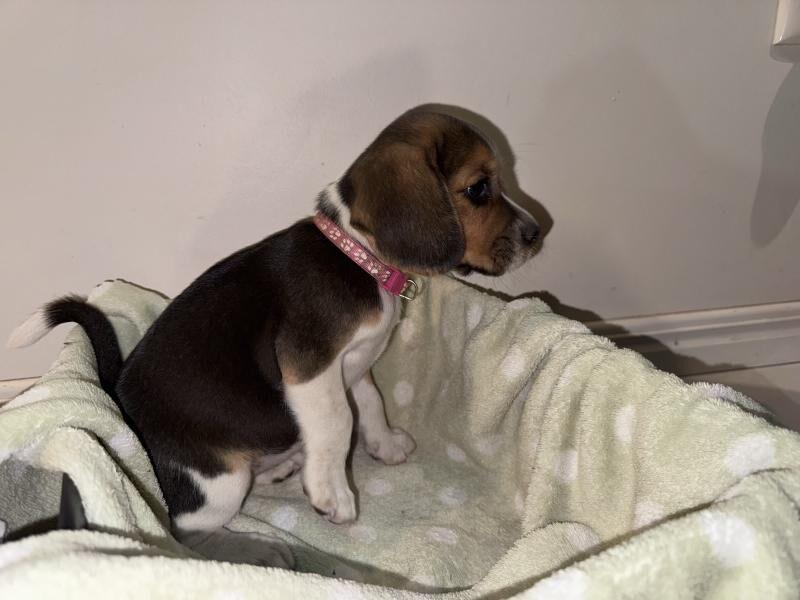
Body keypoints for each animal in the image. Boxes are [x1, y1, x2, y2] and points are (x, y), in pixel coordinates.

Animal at [7, 108, 536, 568]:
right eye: (479, 188)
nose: (536, 233)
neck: (357, 256)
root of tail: (111, 398)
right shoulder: (308, 362)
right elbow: (338, 421)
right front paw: (332, 493)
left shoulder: (353, 365)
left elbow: (369, 400)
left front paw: (384, 445)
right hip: (218, 482)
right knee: (187, 534)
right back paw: (260, 548)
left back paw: (283, 464)